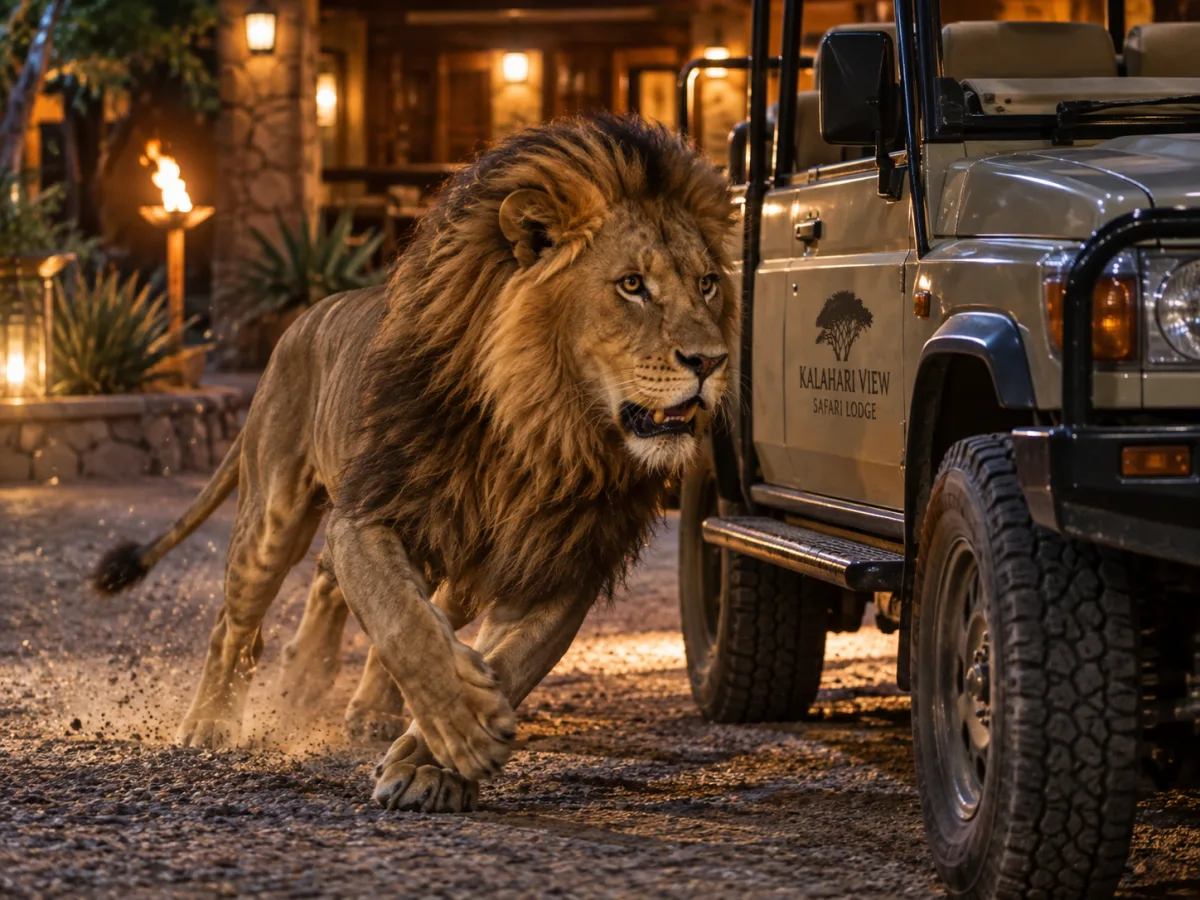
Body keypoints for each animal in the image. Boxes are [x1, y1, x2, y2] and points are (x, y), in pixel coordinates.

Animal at [93, 114, 737, 813]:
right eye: (632, 285)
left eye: (707, 283)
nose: (712, 361)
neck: (546, 428)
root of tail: (304, 317)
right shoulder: (373, 514)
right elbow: (403, 625)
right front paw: (466, 724)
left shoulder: (561, 565)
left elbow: (507, 663)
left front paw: (433, 761)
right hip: (274, 515)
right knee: (239, 623)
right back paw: (212, 722)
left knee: (350, 594)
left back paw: (336, 697)